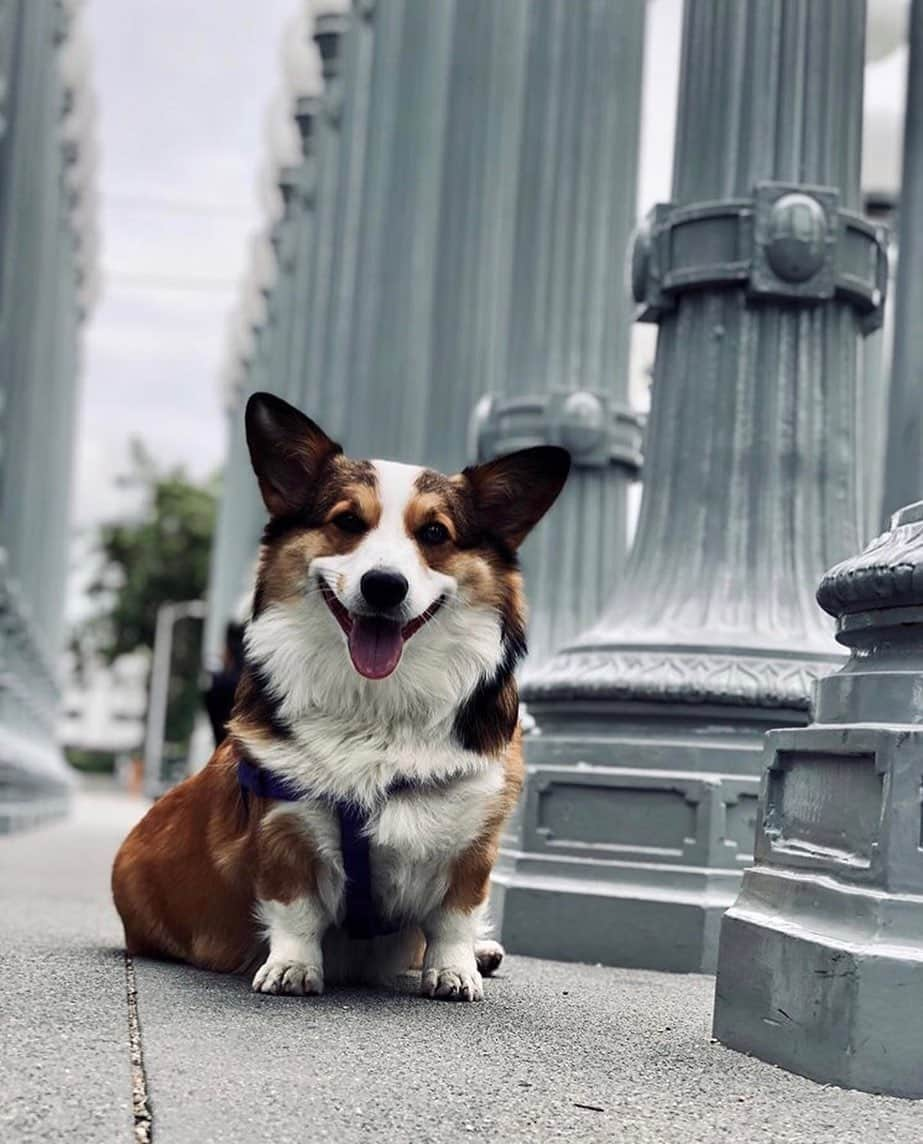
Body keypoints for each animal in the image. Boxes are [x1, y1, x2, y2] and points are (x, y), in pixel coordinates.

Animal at [110, 391, 567, 1002]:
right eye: (348, 521)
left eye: (435, 534)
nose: (384, 586)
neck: (377, 707)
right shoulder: (283, 828)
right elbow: (296, 911)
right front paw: (292, 967)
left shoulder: (474, 838)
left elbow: (454, 918)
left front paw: (455, 969)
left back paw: (482, 953)